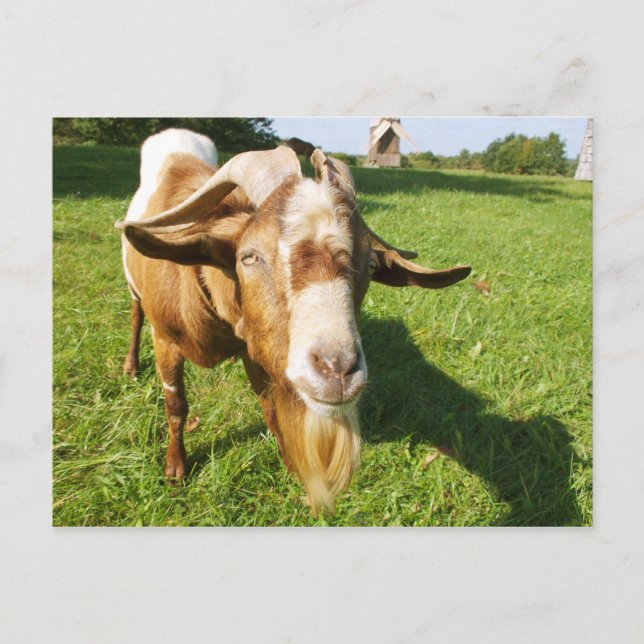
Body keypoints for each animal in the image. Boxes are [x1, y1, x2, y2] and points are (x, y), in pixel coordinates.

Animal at [116, 128, 471, 514]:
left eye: (371, 265)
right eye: (249, 257)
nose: (337, 369)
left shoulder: (254, 349)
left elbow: (270, 407)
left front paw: (288, 463)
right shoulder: (165, 340)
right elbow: (176, 404)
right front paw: (175, 468)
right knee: (135, 312)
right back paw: (131, 366)